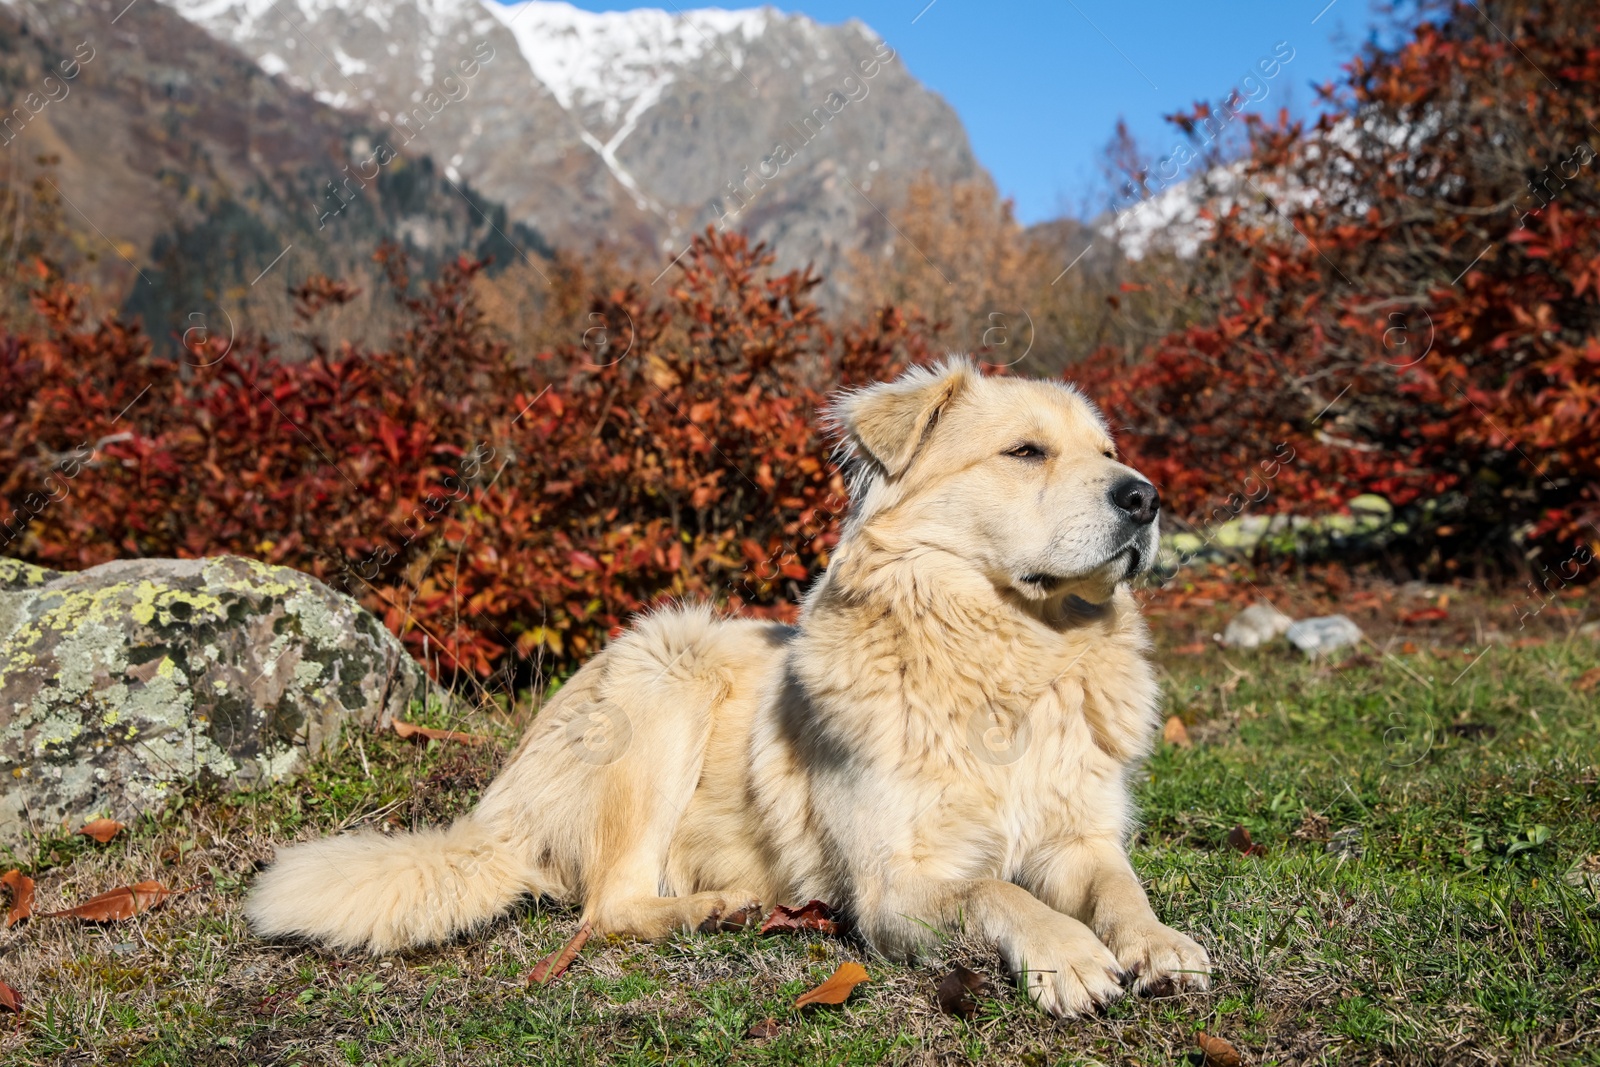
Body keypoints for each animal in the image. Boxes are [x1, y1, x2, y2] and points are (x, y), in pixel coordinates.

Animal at [243, 358, 1203, 1017]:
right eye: (1026, 451)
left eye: (1108, 452)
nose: (1146, 497)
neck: (1009, 656)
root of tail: (499, 809)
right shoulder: (892, 887)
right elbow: (995, 890)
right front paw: (1066, 952)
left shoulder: (1078, 837)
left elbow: (1121, 886)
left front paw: (1157, 943)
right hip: (670, 670)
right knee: (610, 906)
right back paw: (719, 908)